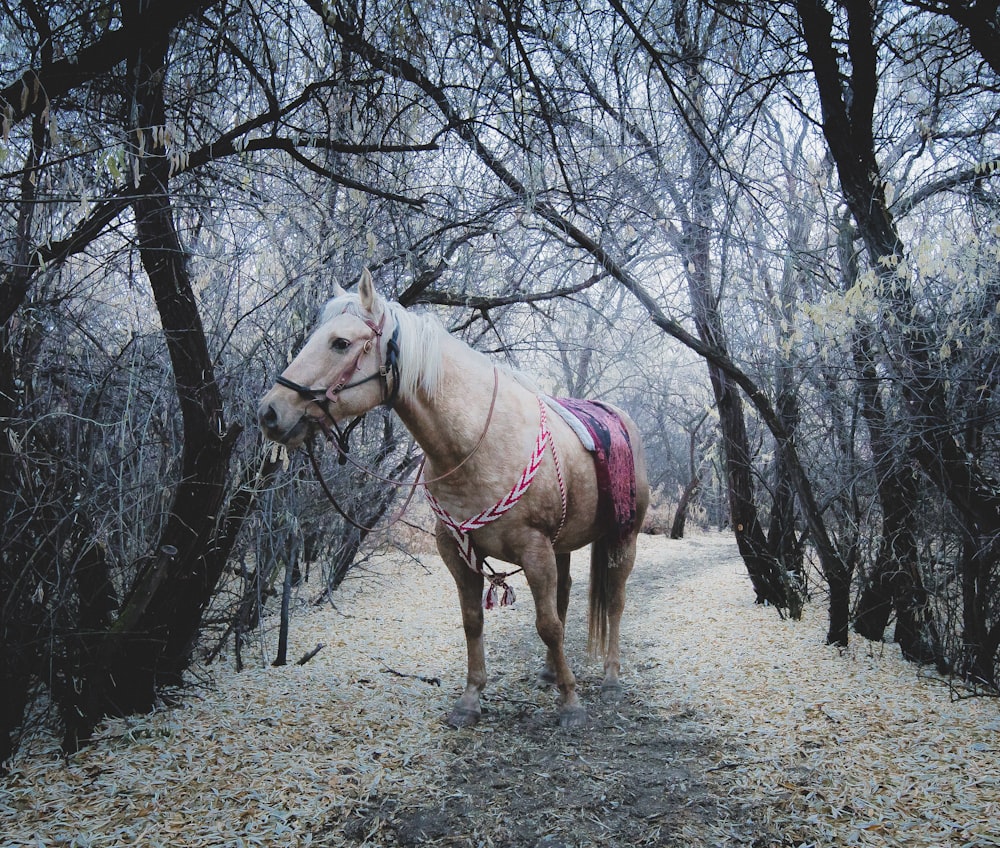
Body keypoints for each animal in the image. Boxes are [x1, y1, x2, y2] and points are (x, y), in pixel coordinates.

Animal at [258, 272, 648, 728]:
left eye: (340, 342)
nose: (269, 412)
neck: (479, 441)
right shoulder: (458, 550)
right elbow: (473, 621)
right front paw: (471, 699)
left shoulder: (534, 550)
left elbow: (547, 625)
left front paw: (570, 705)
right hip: (562, 545)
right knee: (565, 594)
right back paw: (551, 672)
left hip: (623, 538)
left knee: (615, 602)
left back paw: (610, 677)